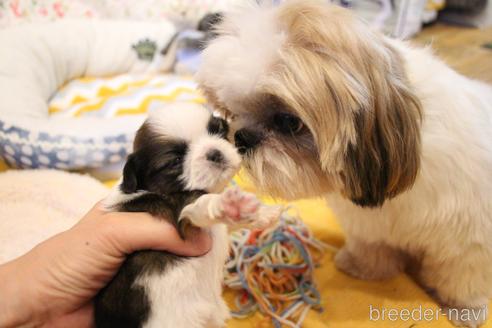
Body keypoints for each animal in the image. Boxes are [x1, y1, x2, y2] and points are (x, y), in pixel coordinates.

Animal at [95, 104, 280, 328]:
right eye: (174, 161)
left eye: (218, 130)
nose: (214, 153)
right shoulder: (183, 212)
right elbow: (205, 203)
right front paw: (231, 205)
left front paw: (261, 213)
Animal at [196, 1, 492, 326]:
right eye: (230, 110)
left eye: (289, 122)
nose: (241, 137)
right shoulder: (368, 224)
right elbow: (371, 246)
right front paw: (363, 266)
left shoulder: (469, 242)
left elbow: (461, 278)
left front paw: (464, 308)